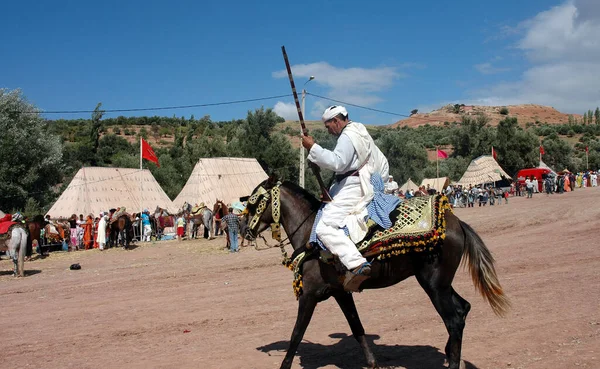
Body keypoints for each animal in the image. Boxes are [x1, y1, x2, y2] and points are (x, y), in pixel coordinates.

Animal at [245, 179, 510, 368]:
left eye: (255, 201)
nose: (247, 230)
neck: (311, 235)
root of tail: (457, 224)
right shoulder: (341, 293)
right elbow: (357, 327)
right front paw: (372, 363)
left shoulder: (309, 295)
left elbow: (296, 334)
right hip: (441, 284)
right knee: (463, 309)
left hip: (434, 286)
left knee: (453, 320)